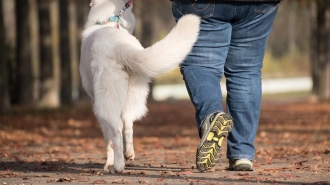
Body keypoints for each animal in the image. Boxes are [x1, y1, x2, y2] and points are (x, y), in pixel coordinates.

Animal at [79, 0, 201, 173]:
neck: (108, 22)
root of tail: (119, 46)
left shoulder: (95, 102)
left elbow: (107, 141)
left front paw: (108, 163)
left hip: (106, 102)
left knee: (116, 133)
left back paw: (117, 166)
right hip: (133, 94)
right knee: (128, 125)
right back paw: (129, 155)